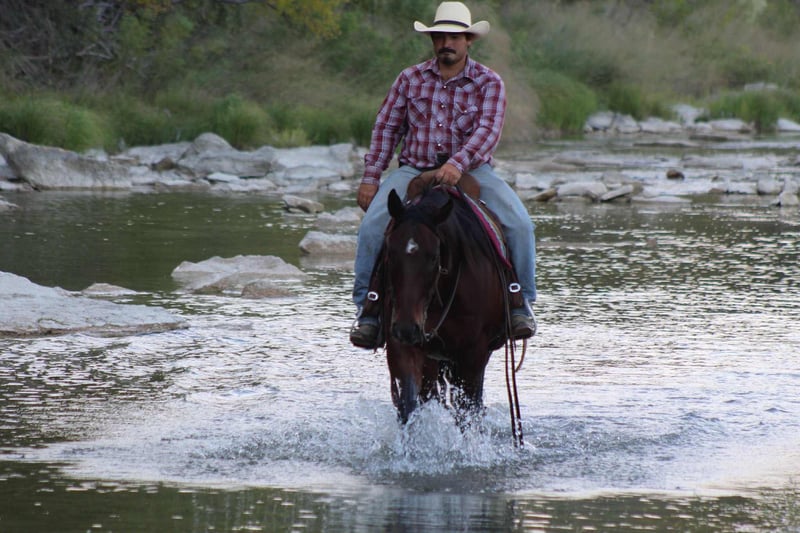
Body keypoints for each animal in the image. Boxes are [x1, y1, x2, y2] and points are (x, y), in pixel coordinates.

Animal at [373, 174, 524, 443]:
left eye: (434, 256)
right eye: (389, 252)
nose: (406, 328)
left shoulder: (473, 353)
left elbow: (468, 413)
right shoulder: (402, 347)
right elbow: (408, 408)